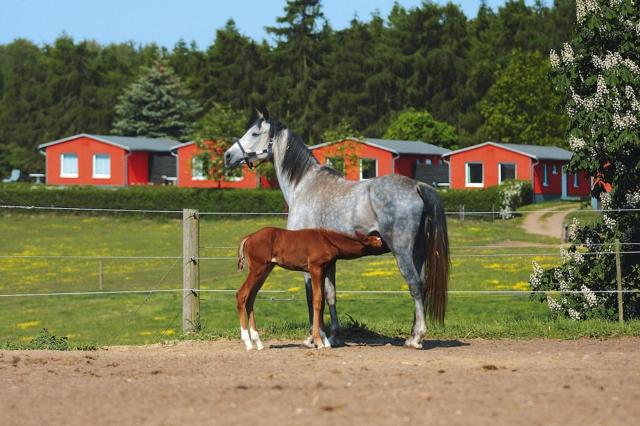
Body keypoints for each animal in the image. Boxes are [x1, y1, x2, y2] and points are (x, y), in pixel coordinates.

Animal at [236, 226, 382, 350]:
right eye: (374, 241)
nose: (383, 244)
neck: (327, 240)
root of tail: (249, 237)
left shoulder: (323, 271)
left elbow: (322, 303)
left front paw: (326, 341)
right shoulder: (315, 269)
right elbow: (317, 301)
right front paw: (319, 342)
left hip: (266, 268)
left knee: (251, 299)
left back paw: (258, 343)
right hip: (258, 268)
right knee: (241, 295)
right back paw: (248, 343)